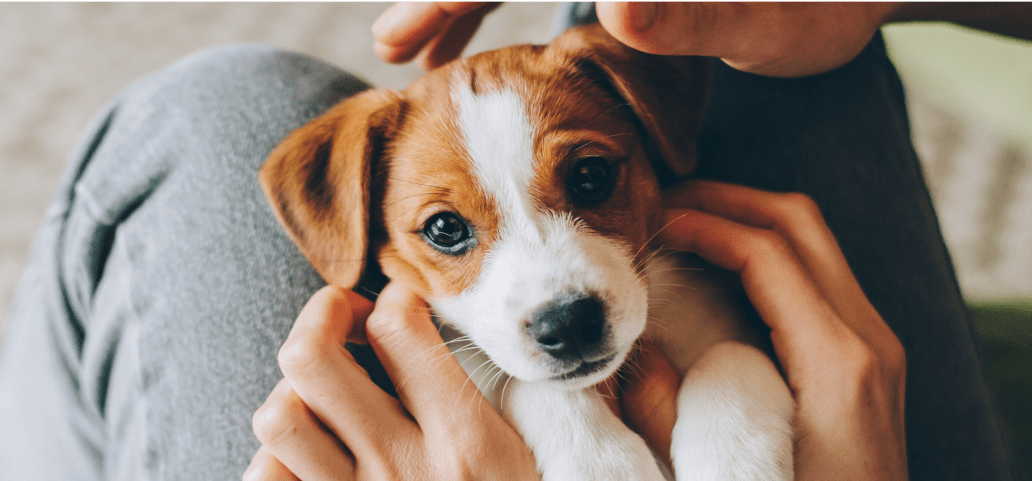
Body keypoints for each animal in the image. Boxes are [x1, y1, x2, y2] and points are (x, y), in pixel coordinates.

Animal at [262, 25, 792, 481]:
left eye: (591, 175)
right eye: (444, 228)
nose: (568, 324)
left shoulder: (727, 324)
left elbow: (731, 353)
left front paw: (734, 459)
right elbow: (532, 387)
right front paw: (599, 464)